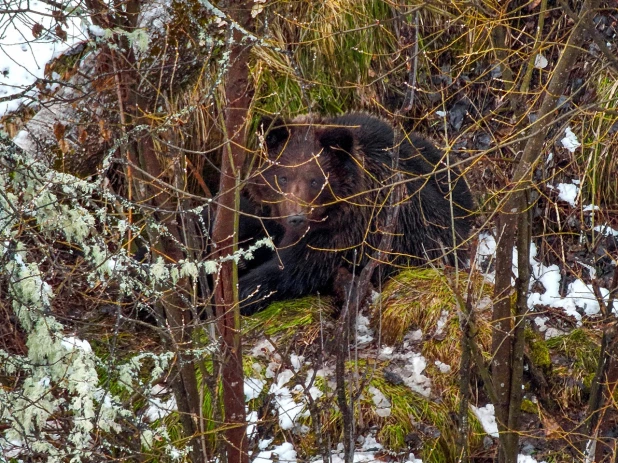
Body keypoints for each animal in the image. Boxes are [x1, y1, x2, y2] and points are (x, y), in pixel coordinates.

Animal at [237, 112, 472, 316]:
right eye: (283, 177)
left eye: (315, 180)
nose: (296, 217)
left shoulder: (346, 235)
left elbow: (291, 269)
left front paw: (243, 290)